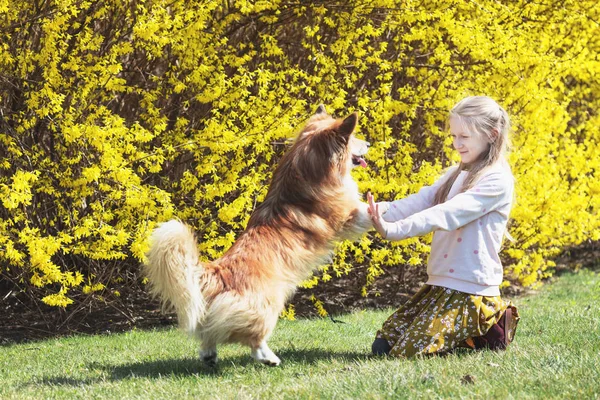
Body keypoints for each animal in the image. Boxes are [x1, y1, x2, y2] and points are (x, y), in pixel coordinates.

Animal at [144, 105, 372, 366]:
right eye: (353, 139)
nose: (369, 143)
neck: (306, 171)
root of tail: (217, 273)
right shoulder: (348, 218)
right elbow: (370, 210)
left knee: (209, 333)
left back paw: (209, 355)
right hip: (268, 305)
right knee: (254, 339)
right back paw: (269, 357)